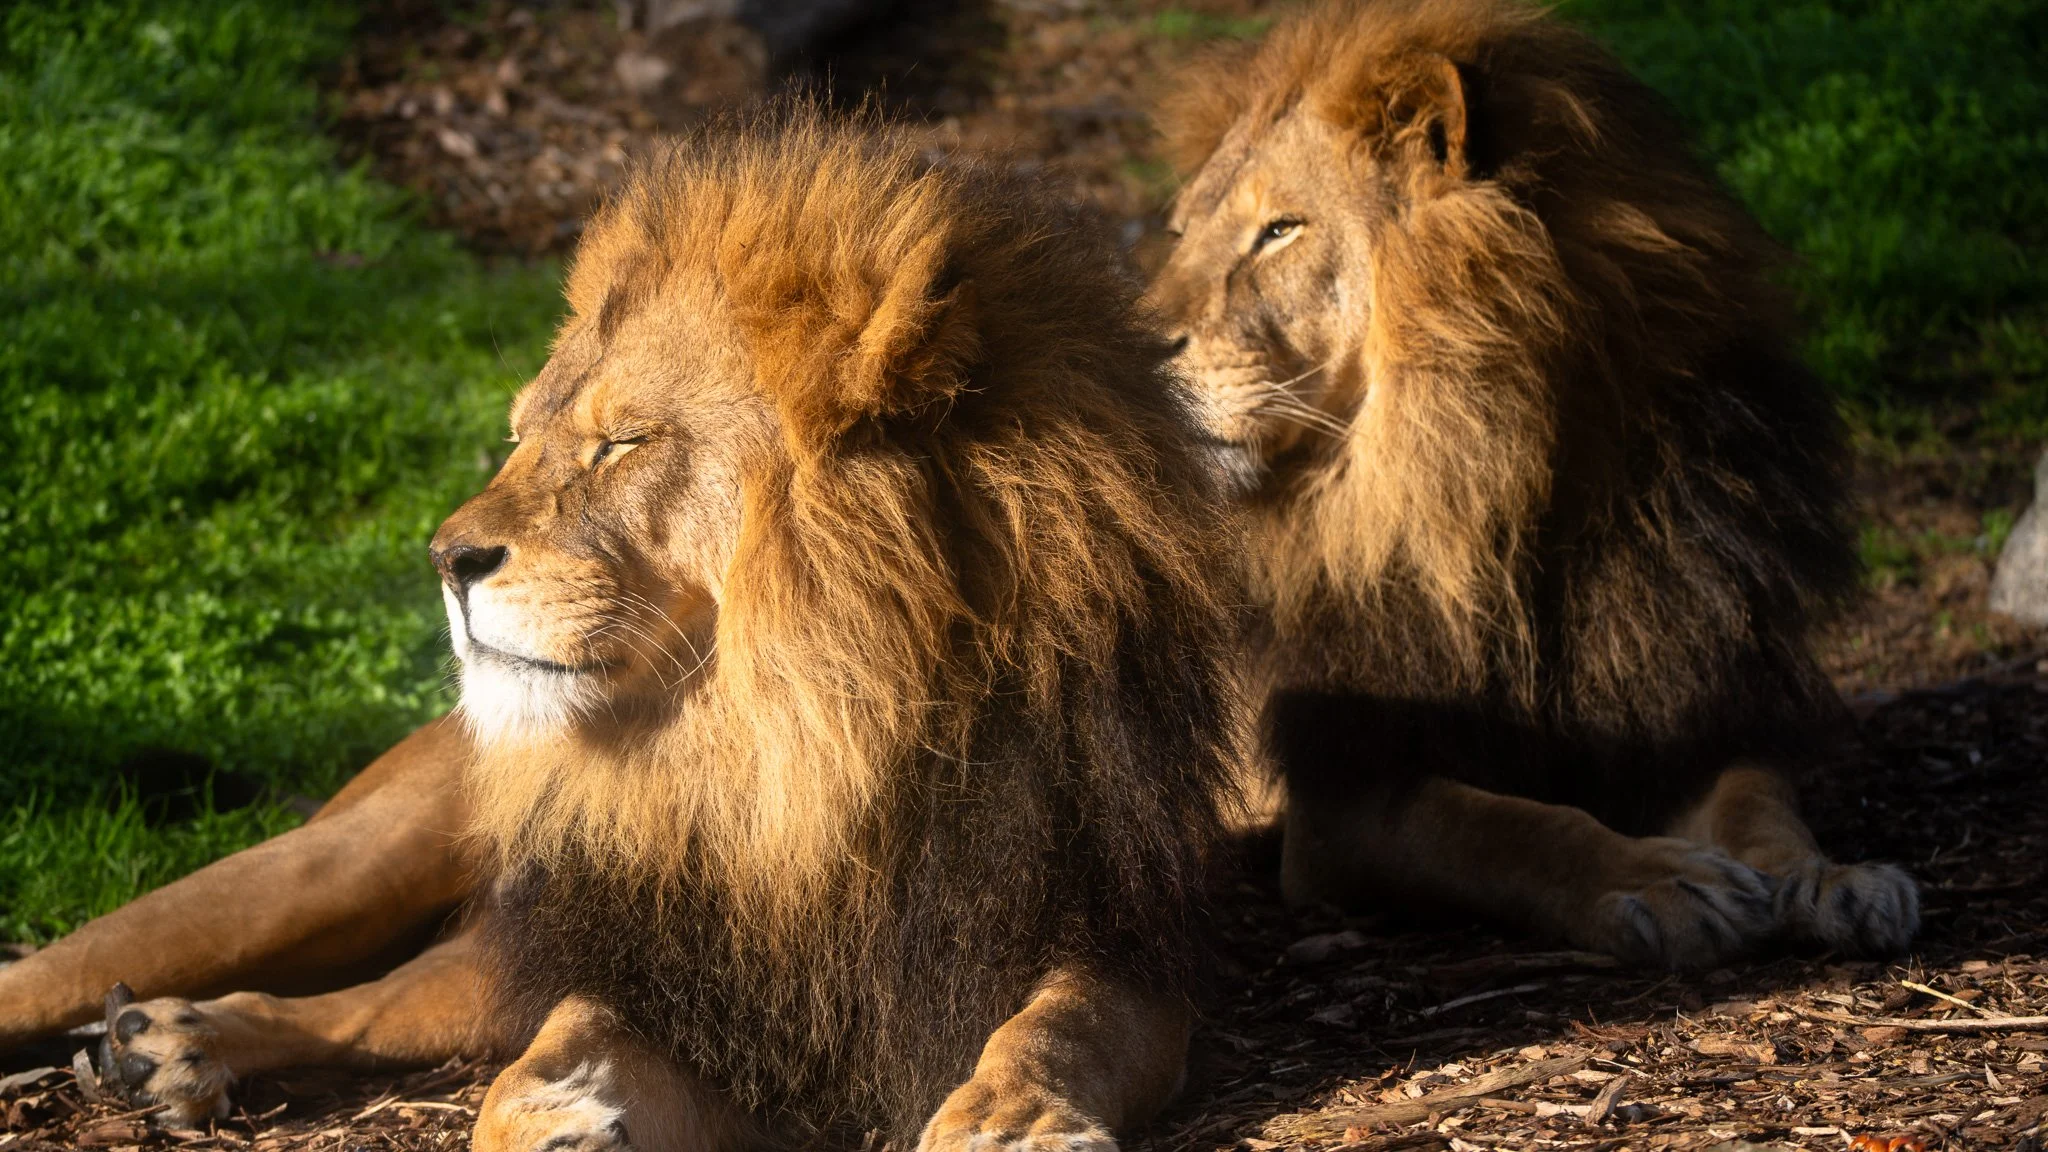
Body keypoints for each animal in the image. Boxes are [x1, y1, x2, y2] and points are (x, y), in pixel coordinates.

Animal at [1, 106, 1245, 1150]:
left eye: (622, 443)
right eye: (521, 438)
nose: (444, 560)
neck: (797, 744)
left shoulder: (1110, 939)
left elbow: (1053, 1030)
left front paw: (1006, 1116)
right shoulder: (668, 974)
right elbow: (536, 1064)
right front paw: (544, 1118)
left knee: (391, 1005)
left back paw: (175, 1047)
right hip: (337, 862)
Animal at [1144, 0, 1919, 968]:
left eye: (1282, 228)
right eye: (1181, 235)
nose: (1128, 347)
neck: (1497, 494)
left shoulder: (1681, 696)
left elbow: (1759, 801)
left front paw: (1829, 880)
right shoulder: (1338, 802)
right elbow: (1506, 829)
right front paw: (1660, 881)